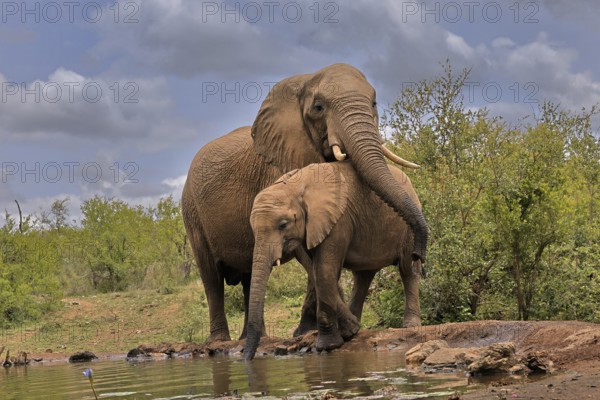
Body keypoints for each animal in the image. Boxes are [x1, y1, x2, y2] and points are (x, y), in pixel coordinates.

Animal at [244, 161, 422, 360]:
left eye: (283, 225)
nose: (246, 358)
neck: (295, 186)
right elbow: (316, 271)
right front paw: (350, 331)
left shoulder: (337, 220)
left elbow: (324, 270)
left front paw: (329, 344)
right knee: (363, 277)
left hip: (408, 231)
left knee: (407, 269)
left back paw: (411, 325)